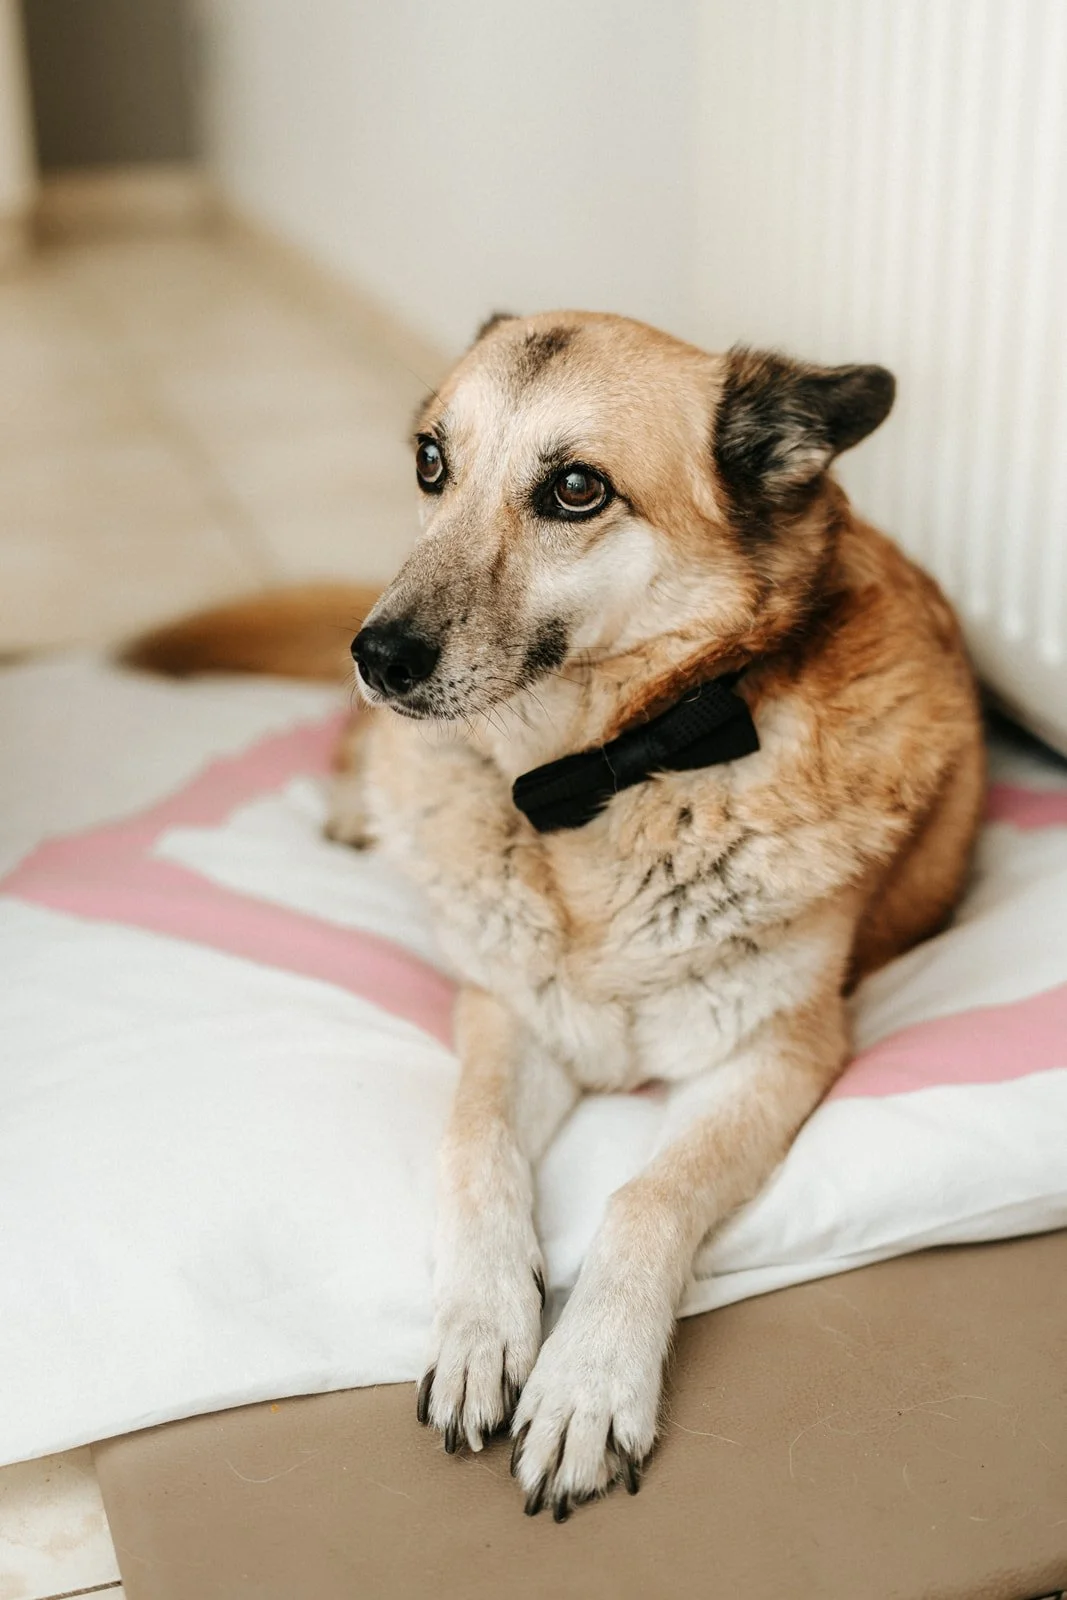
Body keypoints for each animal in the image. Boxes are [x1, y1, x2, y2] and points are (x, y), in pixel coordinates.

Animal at [130, 310, 984, 1521]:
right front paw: (484, 1325)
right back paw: (353, 804)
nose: (374, 655)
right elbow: (474, 1143)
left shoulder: (775, 1052)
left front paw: (586, 1380)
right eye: (429, 462)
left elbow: (646, 1196)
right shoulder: (507, 1011)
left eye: (576, 489)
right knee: (362, 750)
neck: (602, 778)